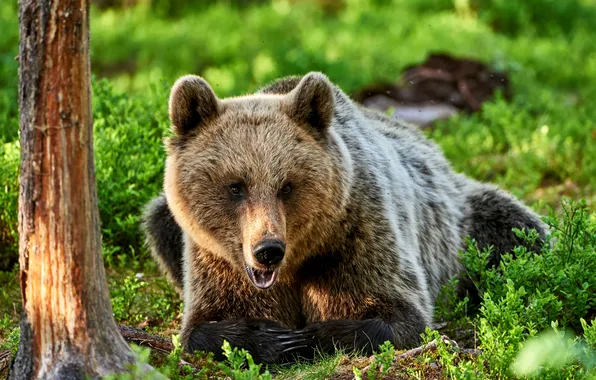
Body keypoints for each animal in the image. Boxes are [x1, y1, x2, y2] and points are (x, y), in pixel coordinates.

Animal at [142, 72, 548, 366]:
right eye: (235, 186)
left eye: (286, 185)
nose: (267, 249)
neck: (298, 259)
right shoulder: (215, 259)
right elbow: (201, 327)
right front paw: (270, 337)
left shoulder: (360, 233)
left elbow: (401, 317)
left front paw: (306, 337)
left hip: (466, 220)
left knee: (518, 234)